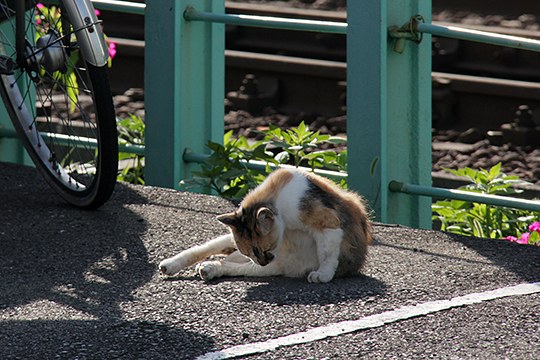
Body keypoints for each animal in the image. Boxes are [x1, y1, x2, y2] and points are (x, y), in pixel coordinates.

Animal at [159, 167, 372, 282]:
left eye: (262, 248)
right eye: (250, 251)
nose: (261, 260)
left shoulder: (328, 222)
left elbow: (327, 253)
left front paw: (324, 274)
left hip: (280, 266)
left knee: (234, 266)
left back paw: (209, 268)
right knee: (207, 251)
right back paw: (171, 264)